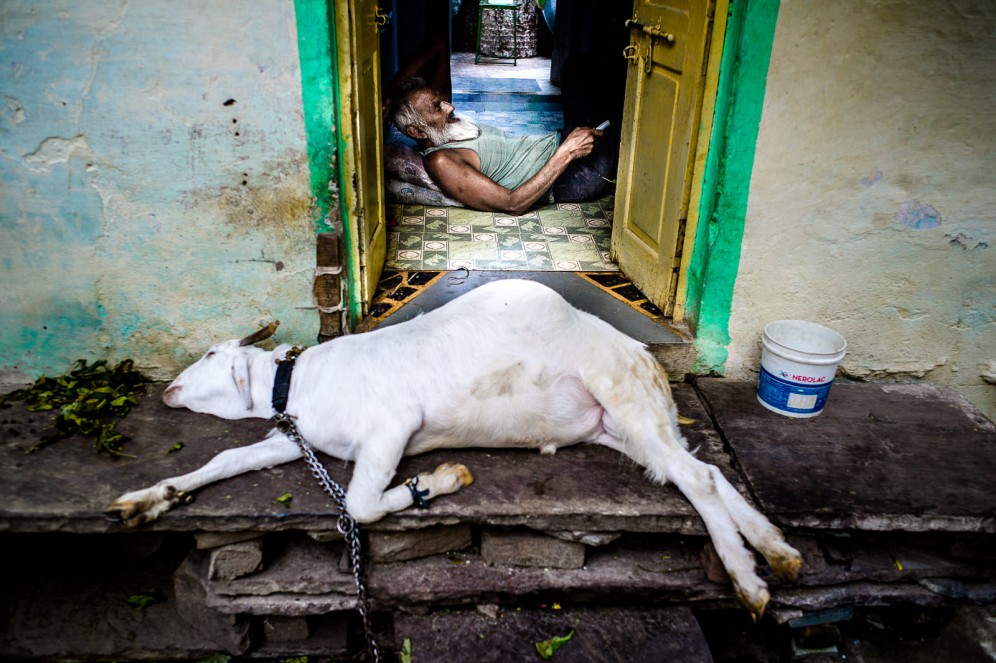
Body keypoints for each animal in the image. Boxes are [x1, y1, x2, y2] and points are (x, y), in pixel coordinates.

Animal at [107, 278, 800, 616]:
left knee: (700, 478)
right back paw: (776, 551)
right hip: (620, 427)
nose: (169, 391)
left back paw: (748, 579)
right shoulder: (297, 438)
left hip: (622, 394)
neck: (297, 385)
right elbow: (229, 459)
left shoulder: (391, 424)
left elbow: (359, 504)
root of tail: (643, 355)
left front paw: (436, 483)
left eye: (209, 352)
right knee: (700, 471)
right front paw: (148, 499)